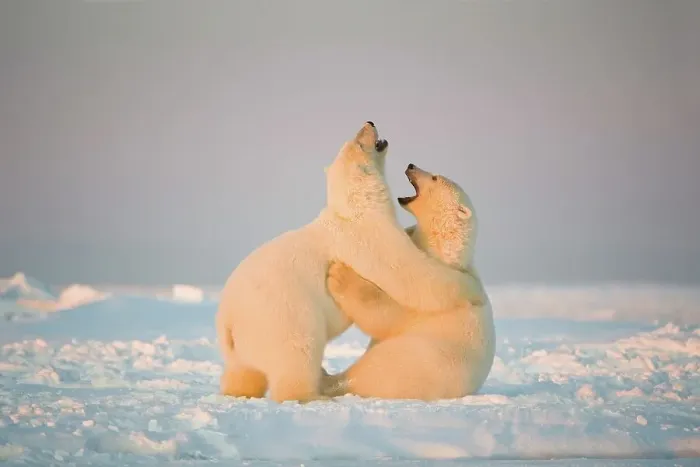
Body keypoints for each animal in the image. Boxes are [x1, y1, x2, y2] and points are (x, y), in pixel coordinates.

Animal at [320, 163, 496, 401]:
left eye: (434, 177)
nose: (411, 165)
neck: (442, 249)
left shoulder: (431, 297)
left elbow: (389, 314)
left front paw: (340, 275)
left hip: (408, 362)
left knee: (371, 371)